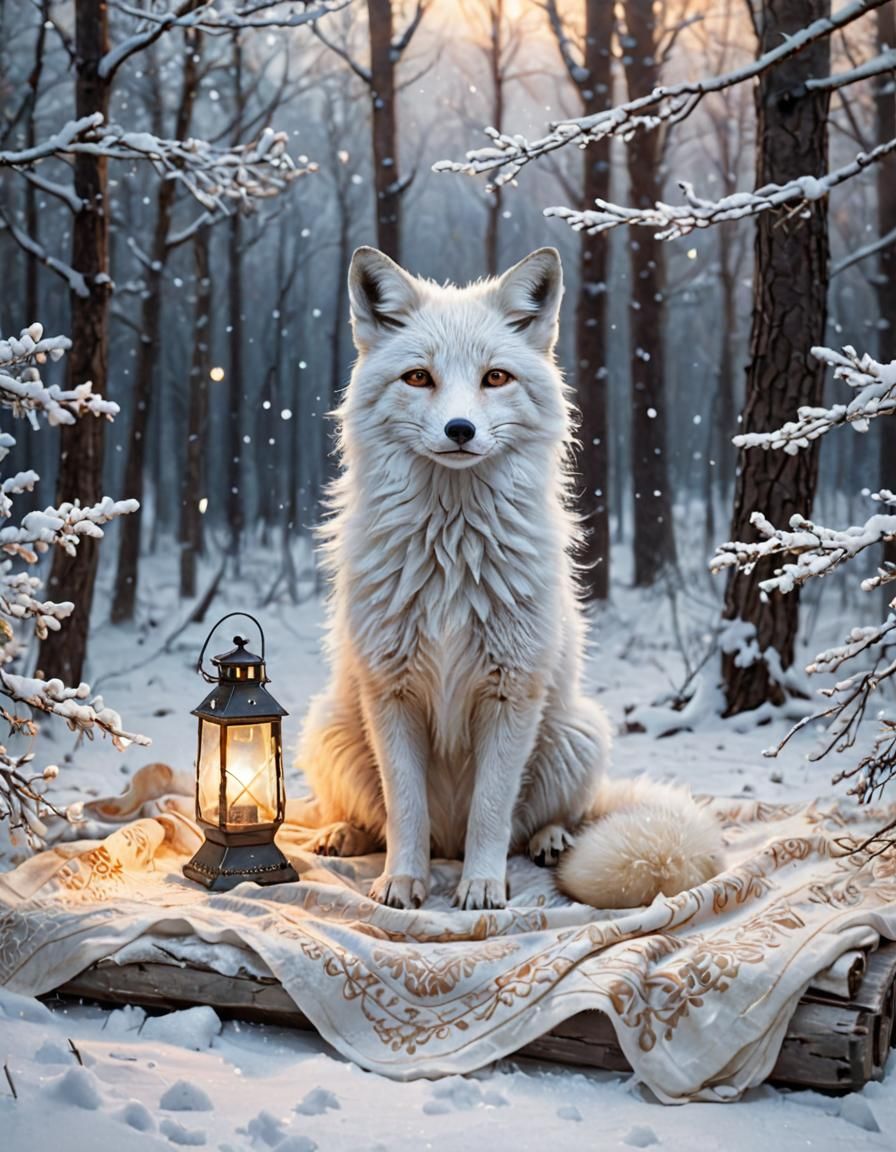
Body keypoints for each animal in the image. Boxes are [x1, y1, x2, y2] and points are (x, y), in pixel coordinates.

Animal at [296, 245, 722, 912]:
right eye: (418, 378)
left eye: (495, 378)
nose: (460, 430)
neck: (450, 555)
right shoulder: (391, 692)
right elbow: (405, 810)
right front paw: (403, 884)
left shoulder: (511, 693)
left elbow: (492, 814)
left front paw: (481, 889)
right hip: (330, 728)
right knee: (373, 817)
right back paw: (344, 833)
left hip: (577, 732)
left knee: (543, 821)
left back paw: (551, 841)